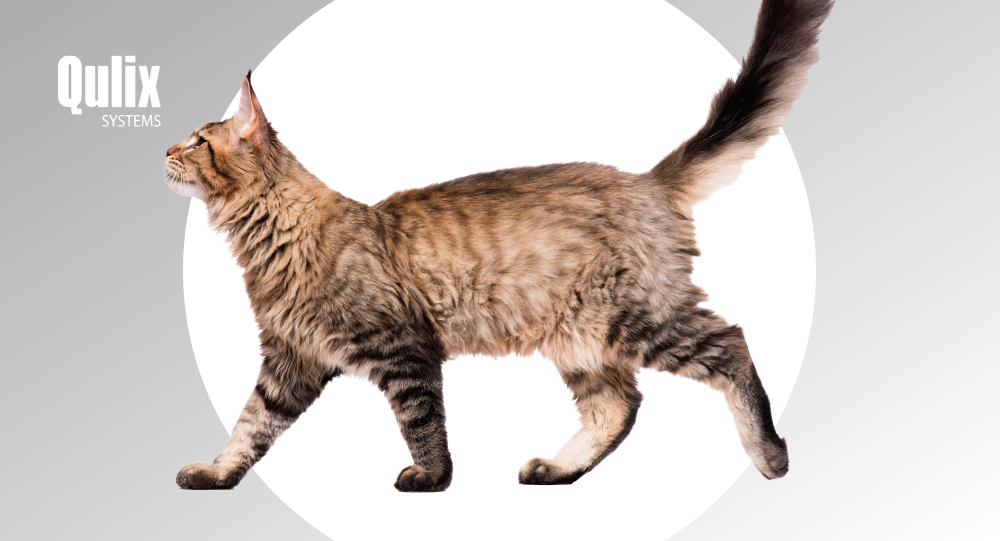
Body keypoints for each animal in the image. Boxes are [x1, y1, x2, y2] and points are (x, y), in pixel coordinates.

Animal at [167, 0, 832, 492]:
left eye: (199, 141)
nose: (168, 150)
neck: (273, 237)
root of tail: (646, 180)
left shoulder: (403, 347)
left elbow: (421, 420)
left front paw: (433, 478)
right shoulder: (290, 359)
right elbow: (250, 425)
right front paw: (218, 473)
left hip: (640, 318)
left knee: (732, 344)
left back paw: (771, 454)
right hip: (581, 338)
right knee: (618, 407)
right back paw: (558, 470)